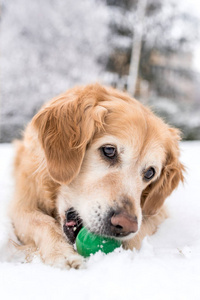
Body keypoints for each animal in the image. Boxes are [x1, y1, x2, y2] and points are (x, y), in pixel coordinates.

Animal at [9, 83, 184, 268]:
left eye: (150, 172)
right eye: (109, 150)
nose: (125, 225)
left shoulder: (156, 212)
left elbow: (141, 231)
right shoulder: (22, 202)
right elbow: (41, 221)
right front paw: (61, 253)